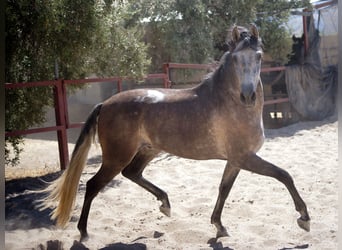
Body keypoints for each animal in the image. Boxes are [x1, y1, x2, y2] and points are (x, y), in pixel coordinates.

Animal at [40, 24, 310, 241]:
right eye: (235, 59)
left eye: (259, 56)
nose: (248, 96)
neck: (231, 104)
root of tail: (104, 104)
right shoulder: (245, 157)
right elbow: (284, 175)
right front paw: (304, 218)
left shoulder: (235, 160)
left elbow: (223, 189)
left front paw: (219, 227)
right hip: (116, 157)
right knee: (93, 184)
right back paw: (84, 232)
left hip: (148, 150)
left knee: (132, 173)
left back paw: (165, 204)